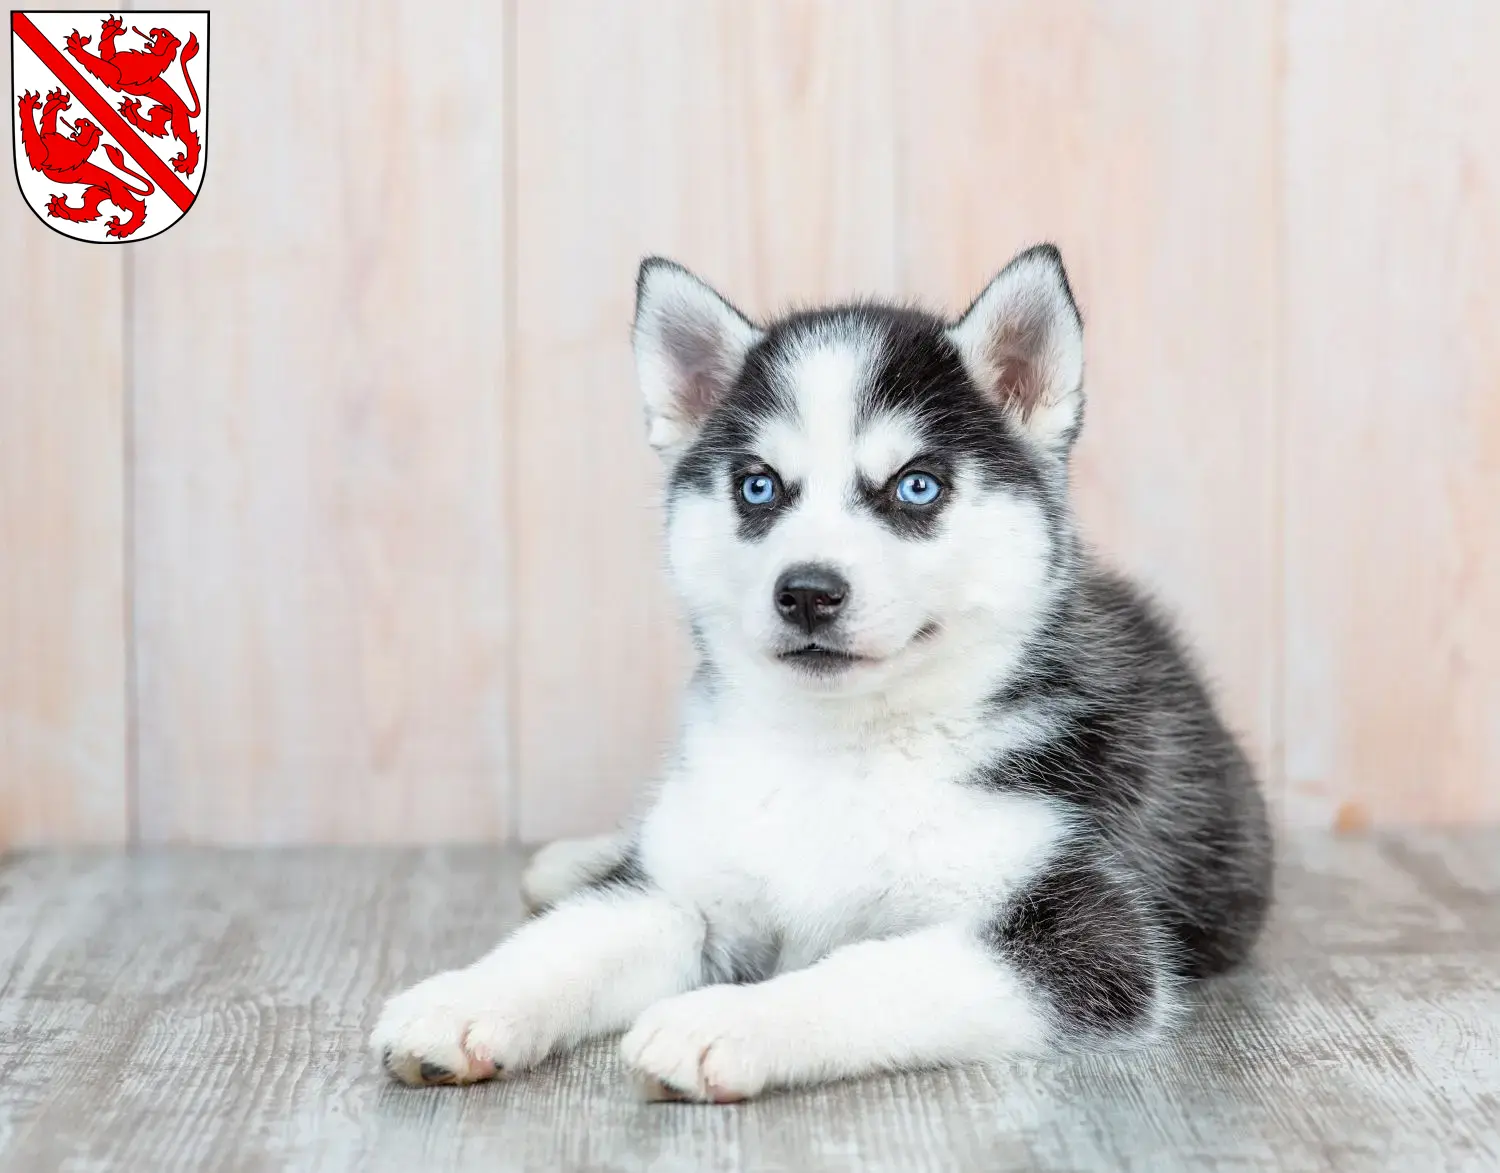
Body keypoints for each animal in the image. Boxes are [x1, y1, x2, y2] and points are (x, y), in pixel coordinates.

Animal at [17, 87, 154, 238]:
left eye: (87, 123)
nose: (79, 119)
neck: (76, 145)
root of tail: (122, 182)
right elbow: (47, 123)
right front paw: (56, 101)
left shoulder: (42, 156)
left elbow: (31, 131)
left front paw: (27, 105)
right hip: (96, 192)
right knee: (89, 211)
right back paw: (61, 208)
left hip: (118, 194)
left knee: (137, 207)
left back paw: (122, 228)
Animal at [65, 16, 201, 177]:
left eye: (163, 34)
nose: (153, 30)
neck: (148, 59)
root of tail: (186, 109)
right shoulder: (111, 60)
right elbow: (106, 52)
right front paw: (112, 28)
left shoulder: (116, 76)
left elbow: (98, 63)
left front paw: (77, 47)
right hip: (160, 112)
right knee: (153, 126)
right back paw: (130, 110)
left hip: (178, 121)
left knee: (188, 139)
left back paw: (186, 164)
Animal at [369, 246, 1272, 1104]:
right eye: (758, 486)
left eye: (917, 485)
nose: (807, 591)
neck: (841, 743)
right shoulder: (685, 890)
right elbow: (575, 938)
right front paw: (462, 1000)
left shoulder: (1083, 938)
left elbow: (871, 970)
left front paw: (726, 1020)